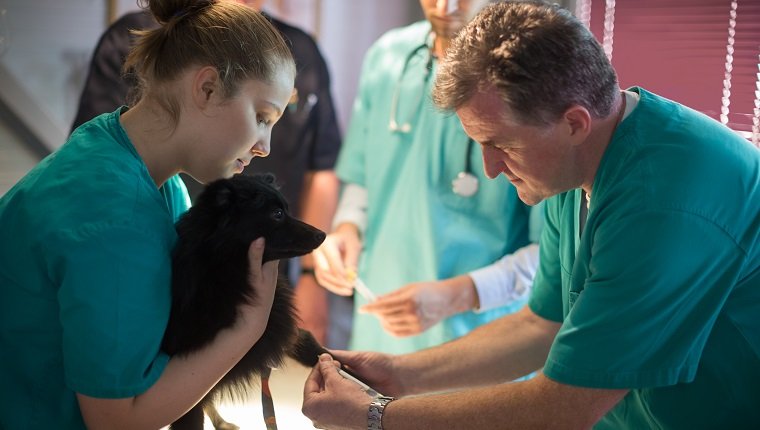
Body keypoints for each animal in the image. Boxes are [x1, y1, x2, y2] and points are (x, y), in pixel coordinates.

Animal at [163, 173, 324, 428]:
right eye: (277, 214)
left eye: (287, 209)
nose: (322, 235)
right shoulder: (188, 393)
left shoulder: (280, 329)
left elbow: (314, 347)